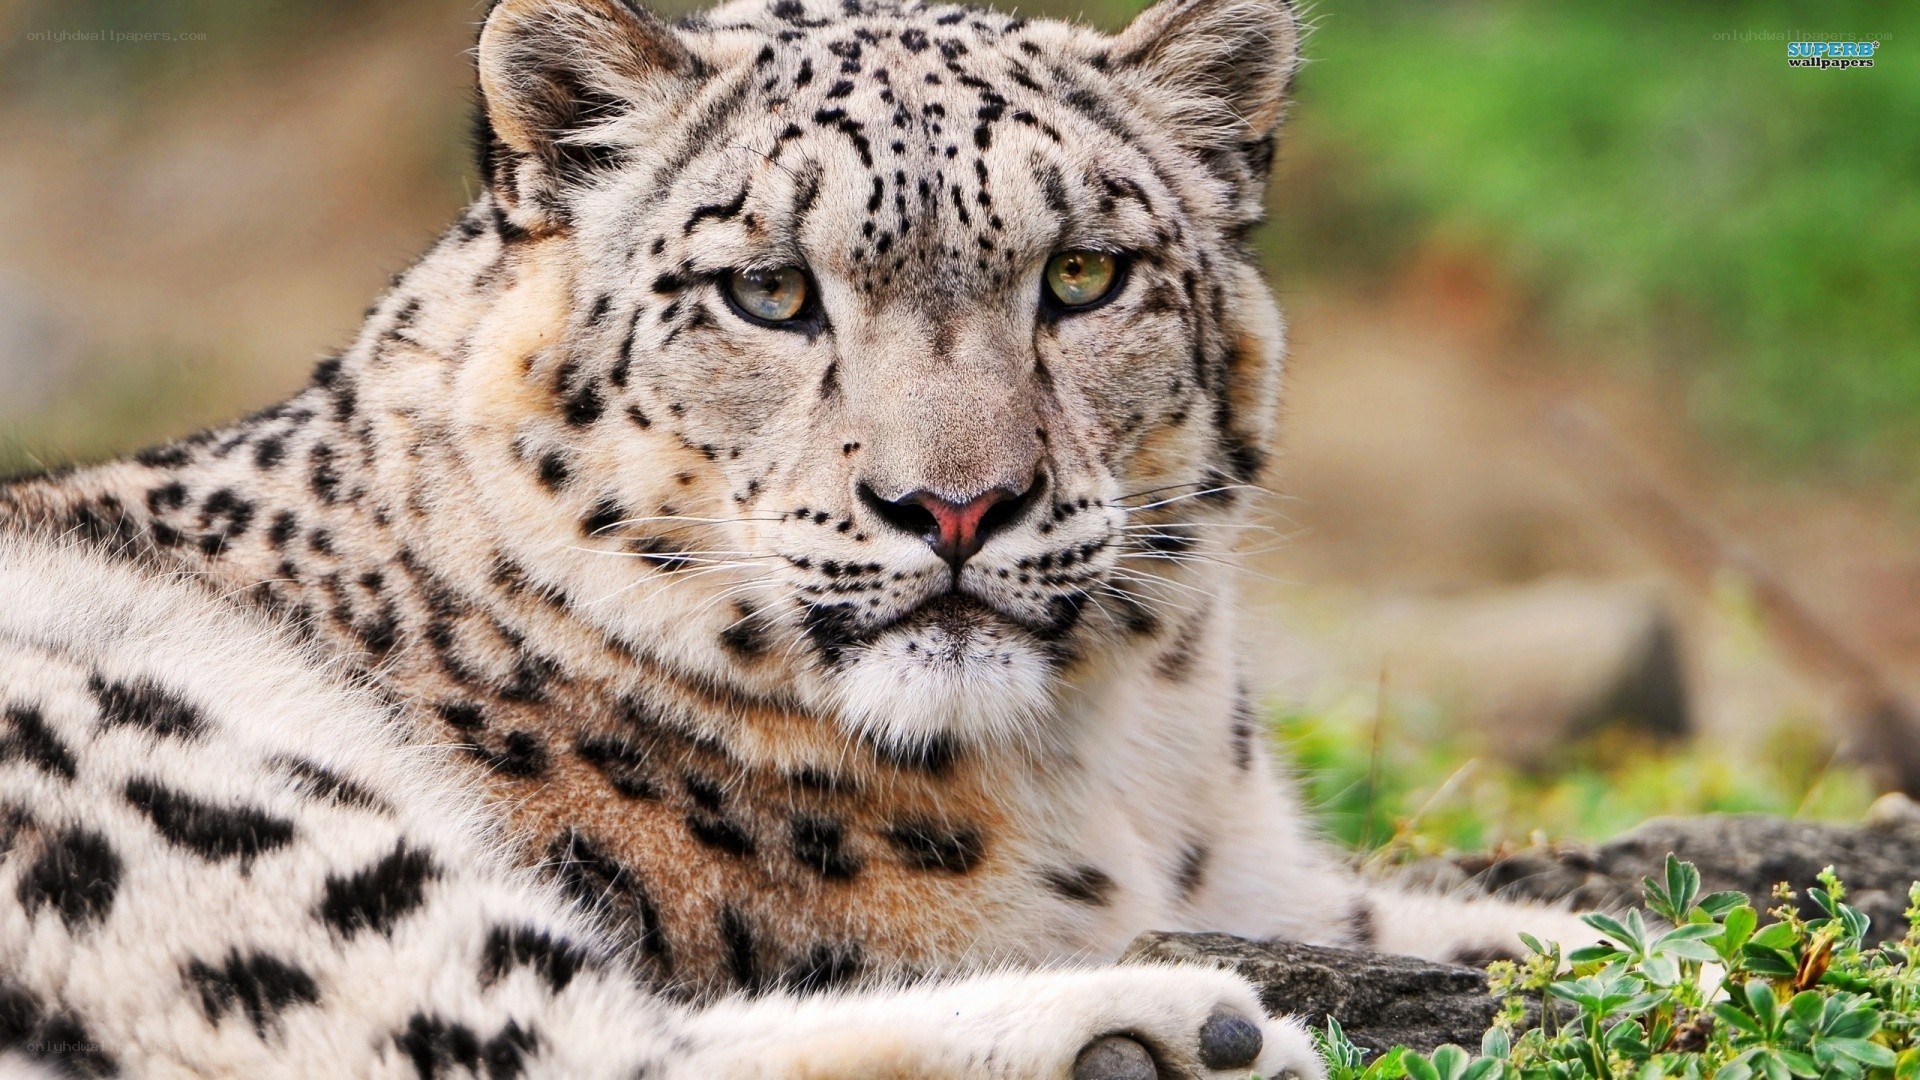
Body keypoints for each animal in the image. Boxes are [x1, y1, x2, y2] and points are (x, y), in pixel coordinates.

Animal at [0, 0, 1596, 1075]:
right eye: (767, 291)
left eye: (1085, 275)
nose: (955, 505)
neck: (1126, 776)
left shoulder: (1276, 880)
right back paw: (1169, 1036)